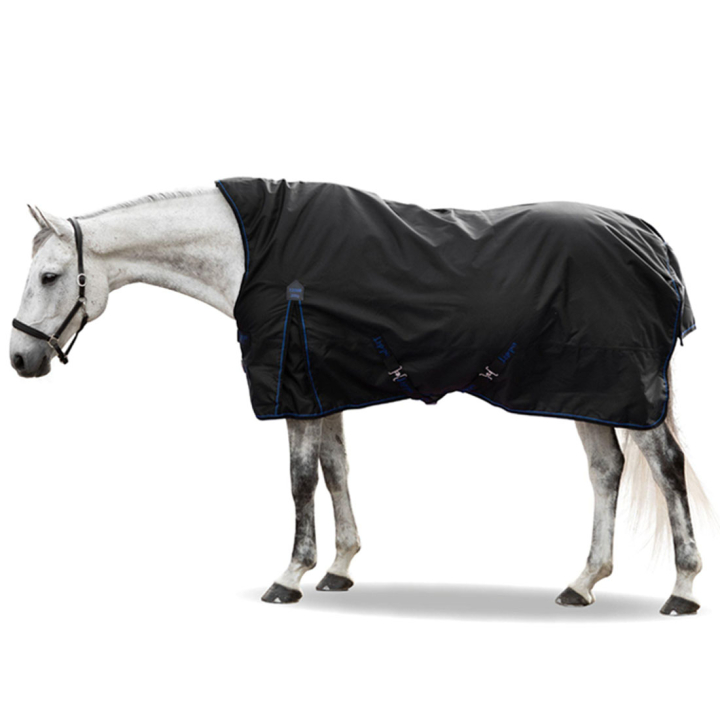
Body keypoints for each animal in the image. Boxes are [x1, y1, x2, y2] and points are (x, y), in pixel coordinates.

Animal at [9, 183, 708, 615]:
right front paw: (339, 569)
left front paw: (289, 577)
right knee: (606, 470)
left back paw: (682, 588)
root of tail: (646, 236)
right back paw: (582, 583)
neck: (254, 251)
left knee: (665, 468)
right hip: (585, 392)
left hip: (624, 391)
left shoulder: (293, 388)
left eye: (49, 276)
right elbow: (336, 469)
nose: (20, 359)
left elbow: (299, 479)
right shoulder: (325, 387)